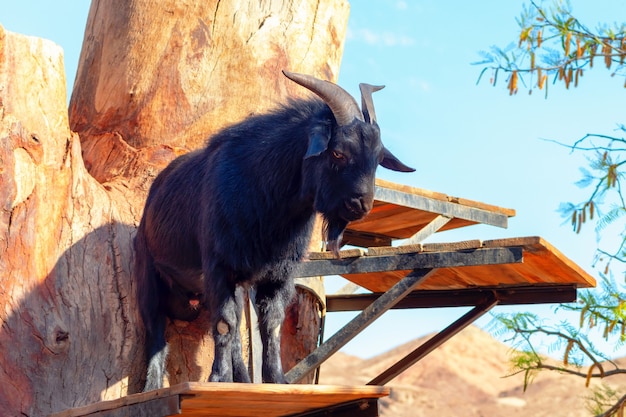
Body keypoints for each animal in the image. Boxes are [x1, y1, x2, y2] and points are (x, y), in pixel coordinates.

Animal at [134, 71, 412, 390]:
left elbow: (271, 324)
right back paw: (151, 387)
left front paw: (276, 380)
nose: (361, 205)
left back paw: (242, 379)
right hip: (149, 273)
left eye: (378, 159)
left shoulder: (278, 274)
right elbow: (225, 323)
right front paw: (218, 379)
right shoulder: (218, 266)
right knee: (156, 328)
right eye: (339, 153)